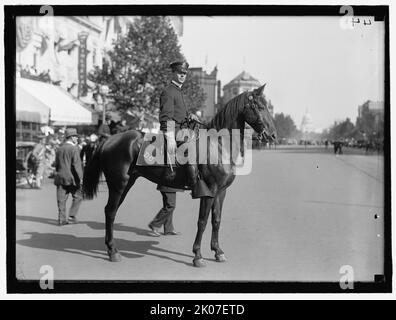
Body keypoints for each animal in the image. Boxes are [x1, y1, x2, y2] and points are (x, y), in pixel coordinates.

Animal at [83, 85, 276, 268]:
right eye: (260, 107)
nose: (273, 135)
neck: (218, 146)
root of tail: (109, 140)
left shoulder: (221, 192)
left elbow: (216, 220)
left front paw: (218, 251)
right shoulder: (208, 191)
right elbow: (202, 222)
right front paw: (197, 256)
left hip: (127, 183)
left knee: (112, 211)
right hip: (118, 184)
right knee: (110, 212)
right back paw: (112, 251)